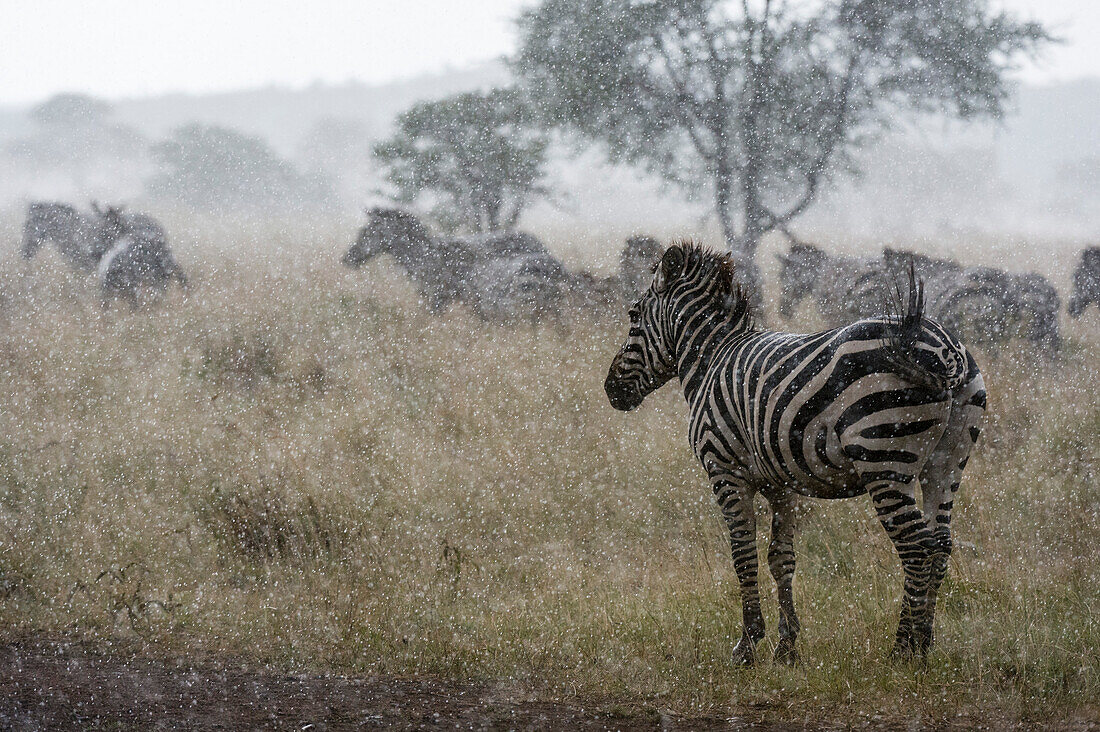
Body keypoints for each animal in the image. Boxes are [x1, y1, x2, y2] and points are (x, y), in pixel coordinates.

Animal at [607, 241, 985, 660]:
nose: (610, 390)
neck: (711, 360)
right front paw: (787, 647)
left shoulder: (724, 470)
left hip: (885, 460)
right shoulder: (782, 484)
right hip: (946, 463)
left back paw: (903, 650)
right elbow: (780, 557)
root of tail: (943, 348)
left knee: (916, 547)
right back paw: (925, 643)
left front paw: (748, 644)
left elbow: (743, 554)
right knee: (941, 543)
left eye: (632, 315)